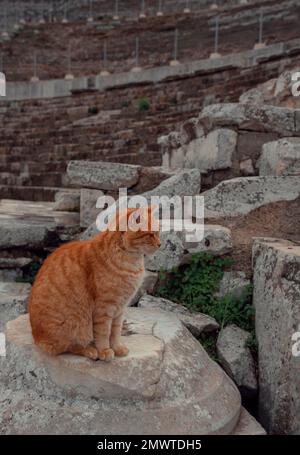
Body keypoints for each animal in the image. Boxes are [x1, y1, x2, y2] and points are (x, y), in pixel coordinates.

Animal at [28, 208, 159, 364]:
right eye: (150, 234)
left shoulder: (120, 308)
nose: (160, 244)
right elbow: (103, 333)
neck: (131, 261)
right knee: (68, 347)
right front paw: (104, 350)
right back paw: (91, 350)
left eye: (158, 233)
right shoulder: (104, 308)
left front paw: (117, 348)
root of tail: (36, 338)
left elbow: (115, 331)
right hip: (76, 325)